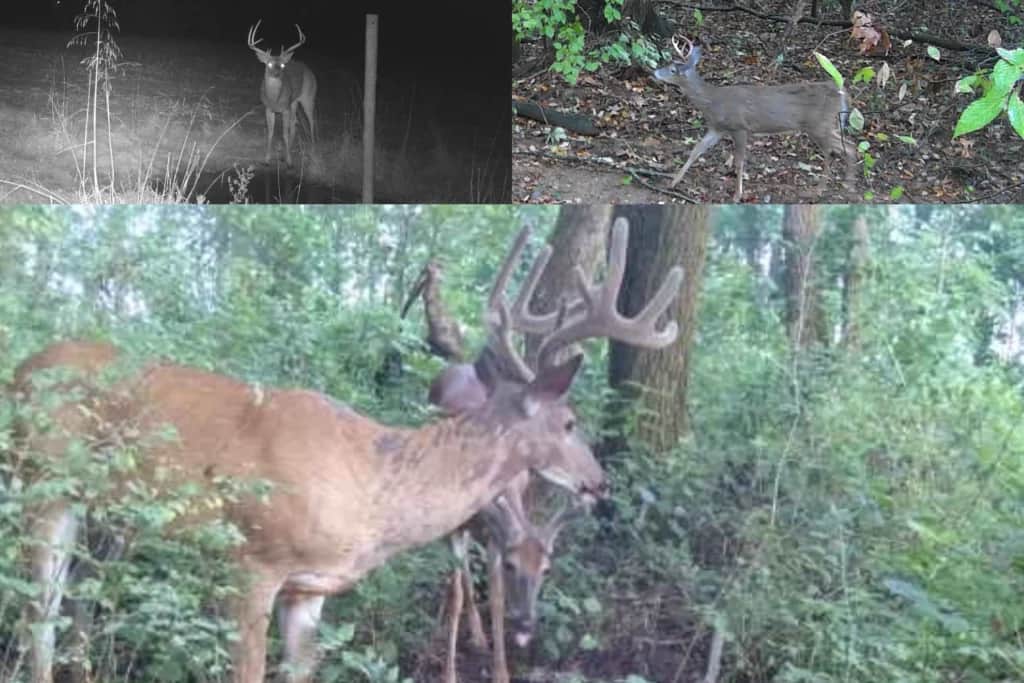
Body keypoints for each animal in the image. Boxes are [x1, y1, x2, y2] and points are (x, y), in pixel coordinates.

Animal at [14, 219, 683, 683]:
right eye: (570, 422)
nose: (600, 483)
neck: (374, 484)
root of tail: (21, 370)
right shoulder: (251, 562)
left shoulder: (309, 591)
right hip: (41, 485)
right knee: (38, 619)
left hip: (100, 514)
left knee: (78, 610)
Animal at [247, 20, 317, 166]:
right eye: (268, 64)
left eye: (283, 65)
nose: (277, 73)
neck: (275, 99)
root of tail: (308, 69)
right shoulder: (268, 108)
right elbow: (270, 133)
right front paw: (267, 159)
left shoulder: (285, 109)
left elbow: (284, 134)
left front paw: (289, 161)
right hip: (294, 101)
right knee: (295, 123)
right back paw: (286, 152)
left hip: (309, 96)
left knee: (311, 120)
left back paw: (313, 148)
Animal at [653, 35, 856, 201]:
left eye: (672, 69)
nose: (654, 72)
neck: (712, 102)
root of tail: (842, 92)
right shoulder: (717, 128)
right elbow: (696, 150)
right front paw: (672, 182)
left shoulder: (740, 127)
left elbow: (739, 161)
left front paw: (737, 195)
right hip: (827, 125)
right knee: (847, 146)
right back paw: (844, 183)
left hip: (819, 125)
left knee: (834, 150)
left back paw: (824, 189)